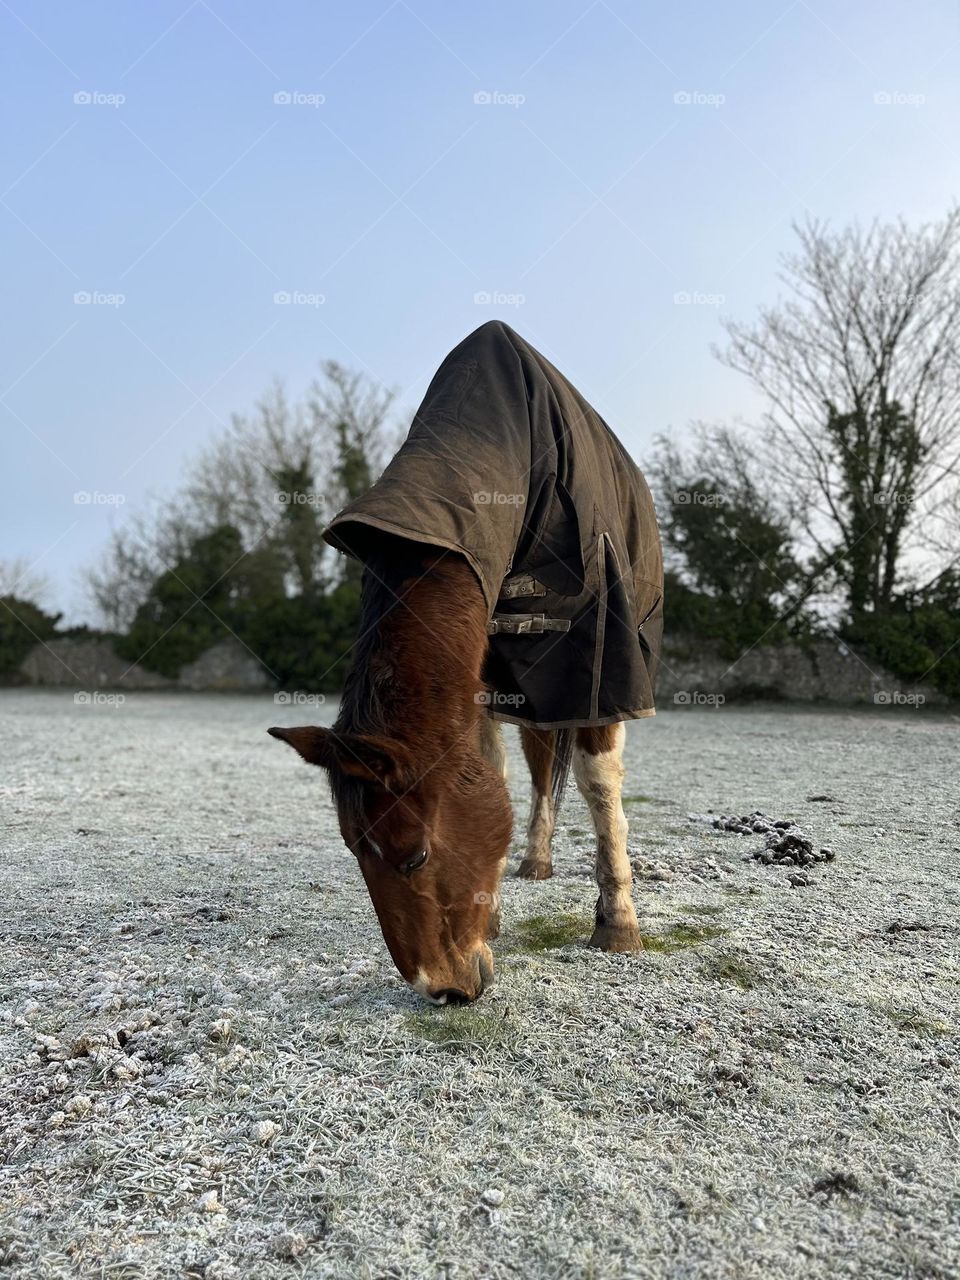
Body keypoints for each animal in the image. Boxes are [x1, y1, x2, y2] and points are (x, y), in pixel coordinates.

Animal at [268, 325, 660, 1003]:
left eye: (415, 856)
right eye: (353, 851)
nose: (442, 990)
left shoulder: (600, 664)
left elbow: (600, 785)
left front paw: (617, 924)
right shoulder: (479, 681)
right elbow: (493, 774)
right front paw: (495, 910)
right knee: (538, 769)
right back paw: (534, 860)